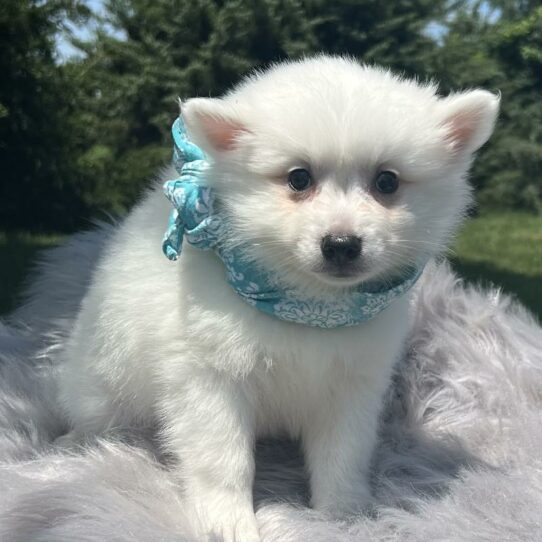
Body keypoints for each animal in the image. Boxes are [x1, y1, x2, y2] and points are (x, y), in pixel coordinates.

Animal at [56, 56, 502, 542]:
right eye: (298, 179)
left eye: (387, 182)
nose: (341, 245)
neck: (308, 304)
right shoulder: (210, 381)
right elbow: (223, 461)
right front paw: (226, 522)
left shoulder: (353, 384)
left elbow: (343, 454)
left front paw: (345, 515)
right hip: (103, 382)